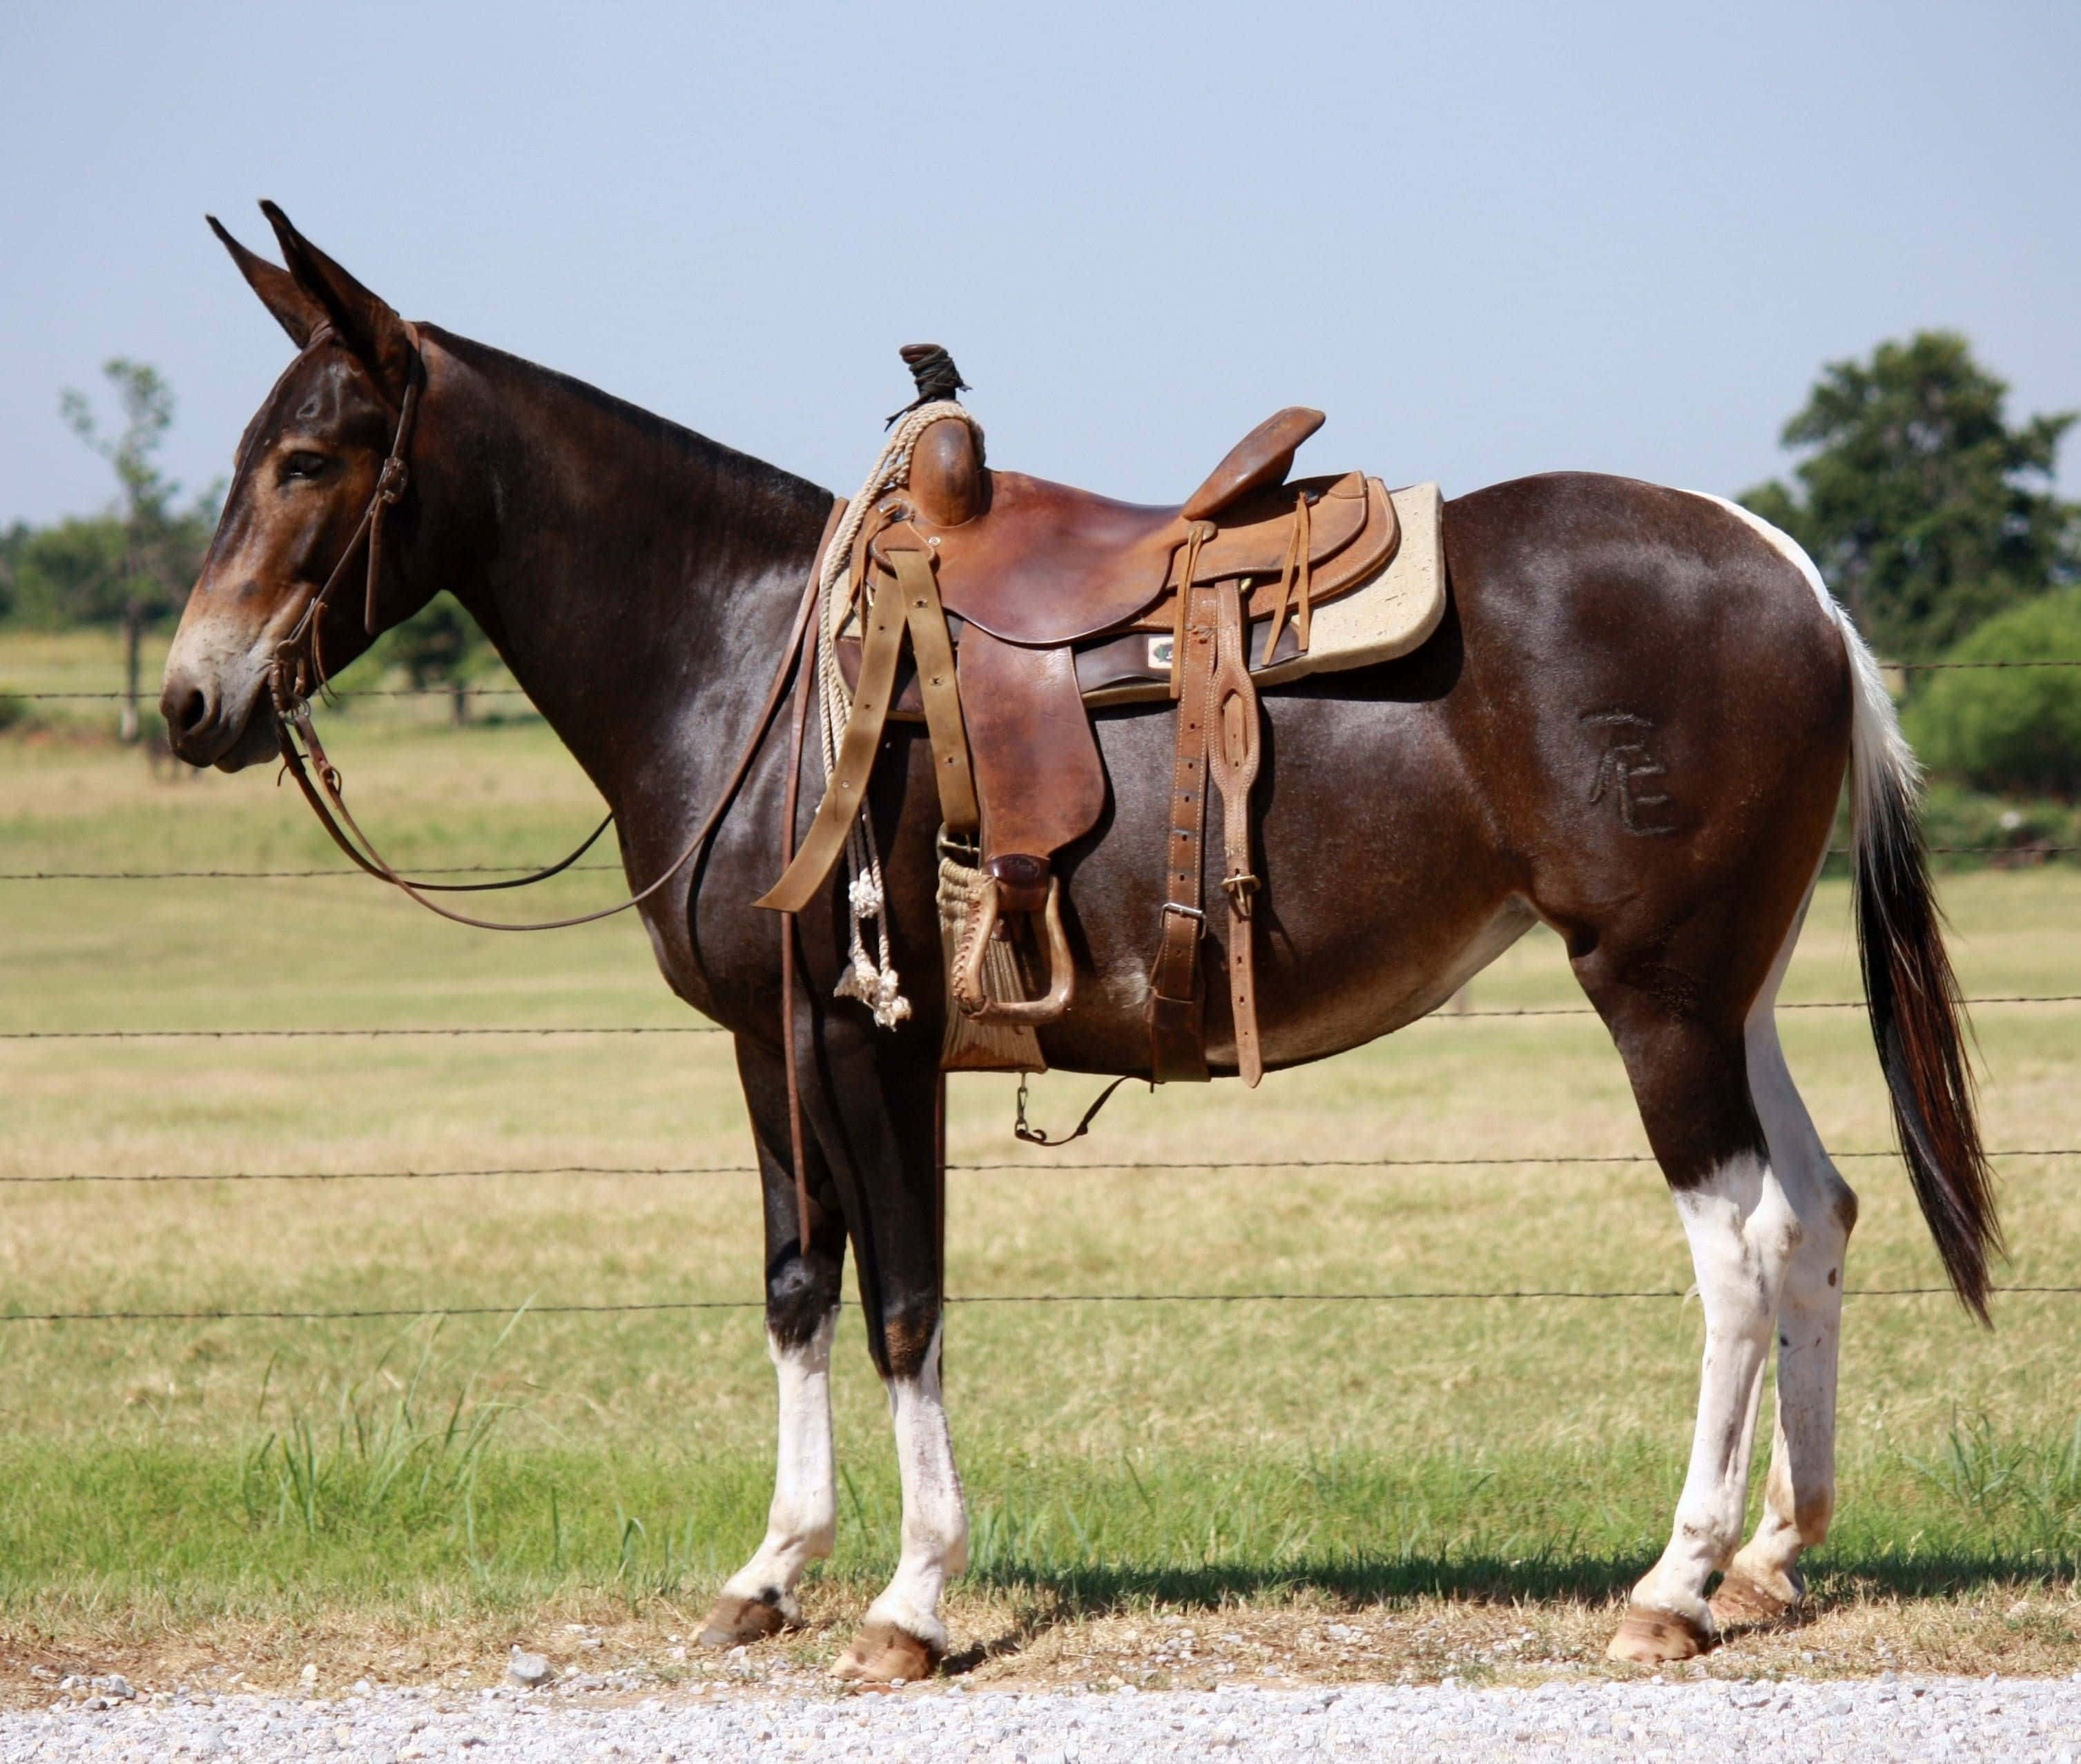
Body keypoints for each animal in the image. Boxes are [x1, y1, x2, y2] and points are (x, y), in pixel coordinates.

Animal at [160, 204, 1997, 1681]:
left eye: (311, 460)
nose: (190, 700)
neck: (743, 652)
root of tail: (1791, 576)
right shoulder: (771, 1042)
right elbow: (797, 1285)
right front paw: (771, 1570)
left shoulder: (870, 1037)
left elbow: (903, 1299)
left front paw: (909, 1602)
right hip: (1731, 989)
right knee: (1821, 1211)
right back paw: (1771, 1559)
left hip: (1652, 993)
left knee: (1739, 1245)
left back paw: (1675, 1582)